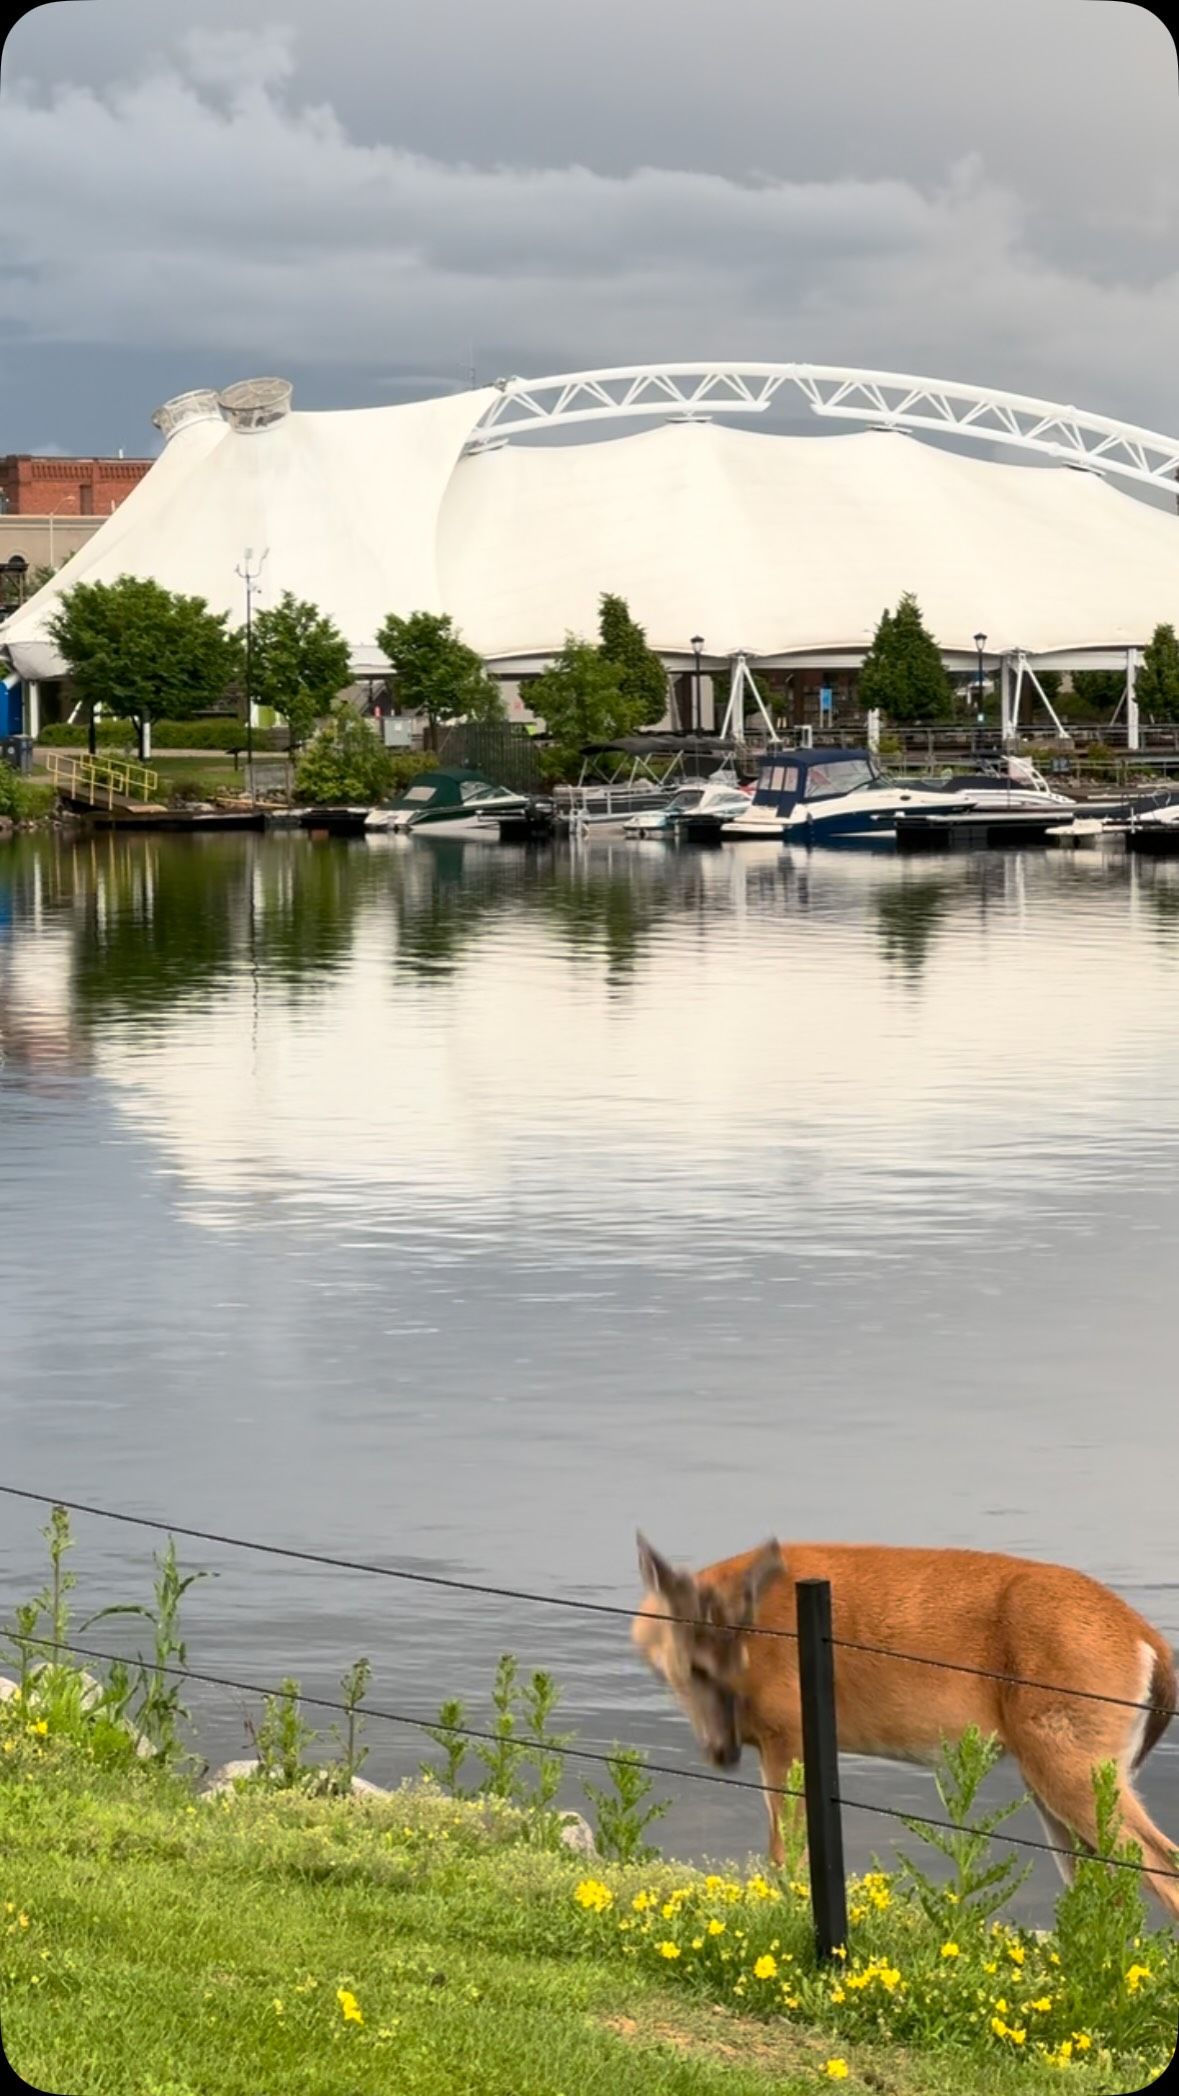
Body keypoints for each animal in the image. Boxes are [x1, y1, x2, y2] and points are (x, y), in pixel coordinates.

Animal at [632, 1534, 1179, 1921]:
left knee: (1158, 1863)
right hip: (1060, 1765)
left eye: (723, 1661)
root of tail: (1149, 1641)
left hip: (1070, 1752)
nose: (721, 1752)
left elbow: (786, 1845)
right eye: (693, 1668)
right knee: (1100, 1884)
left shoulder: (786, 1729)